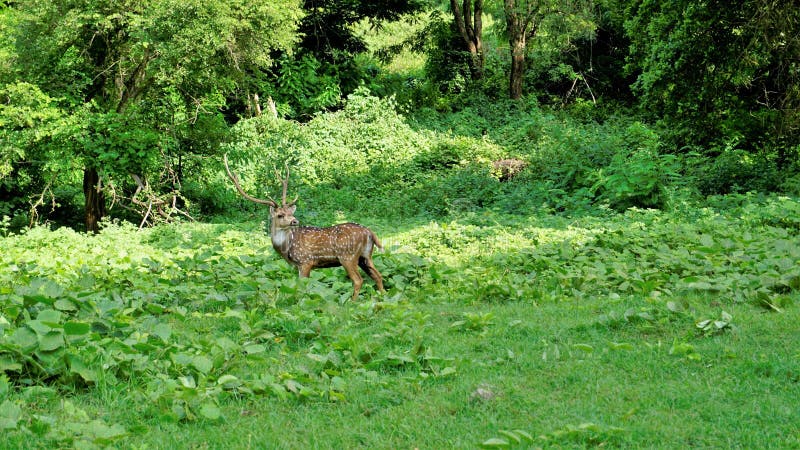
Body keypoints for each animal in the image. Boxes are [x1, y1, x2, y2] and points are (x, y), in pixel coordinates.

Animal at [222, 156, 384, 302]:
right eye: (281, 215)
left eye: (291, 213)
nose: (295, 221)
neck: (287, 248)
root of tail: (369, 232)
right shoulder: (296, 266)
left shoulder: (306, 261)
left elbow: (302, 288)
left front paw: (302, 304)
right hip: (366, 256)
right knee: (378, 275)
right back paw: (382, 298)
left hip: (348, 256)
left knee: (358, 280)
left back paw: (351, 302)